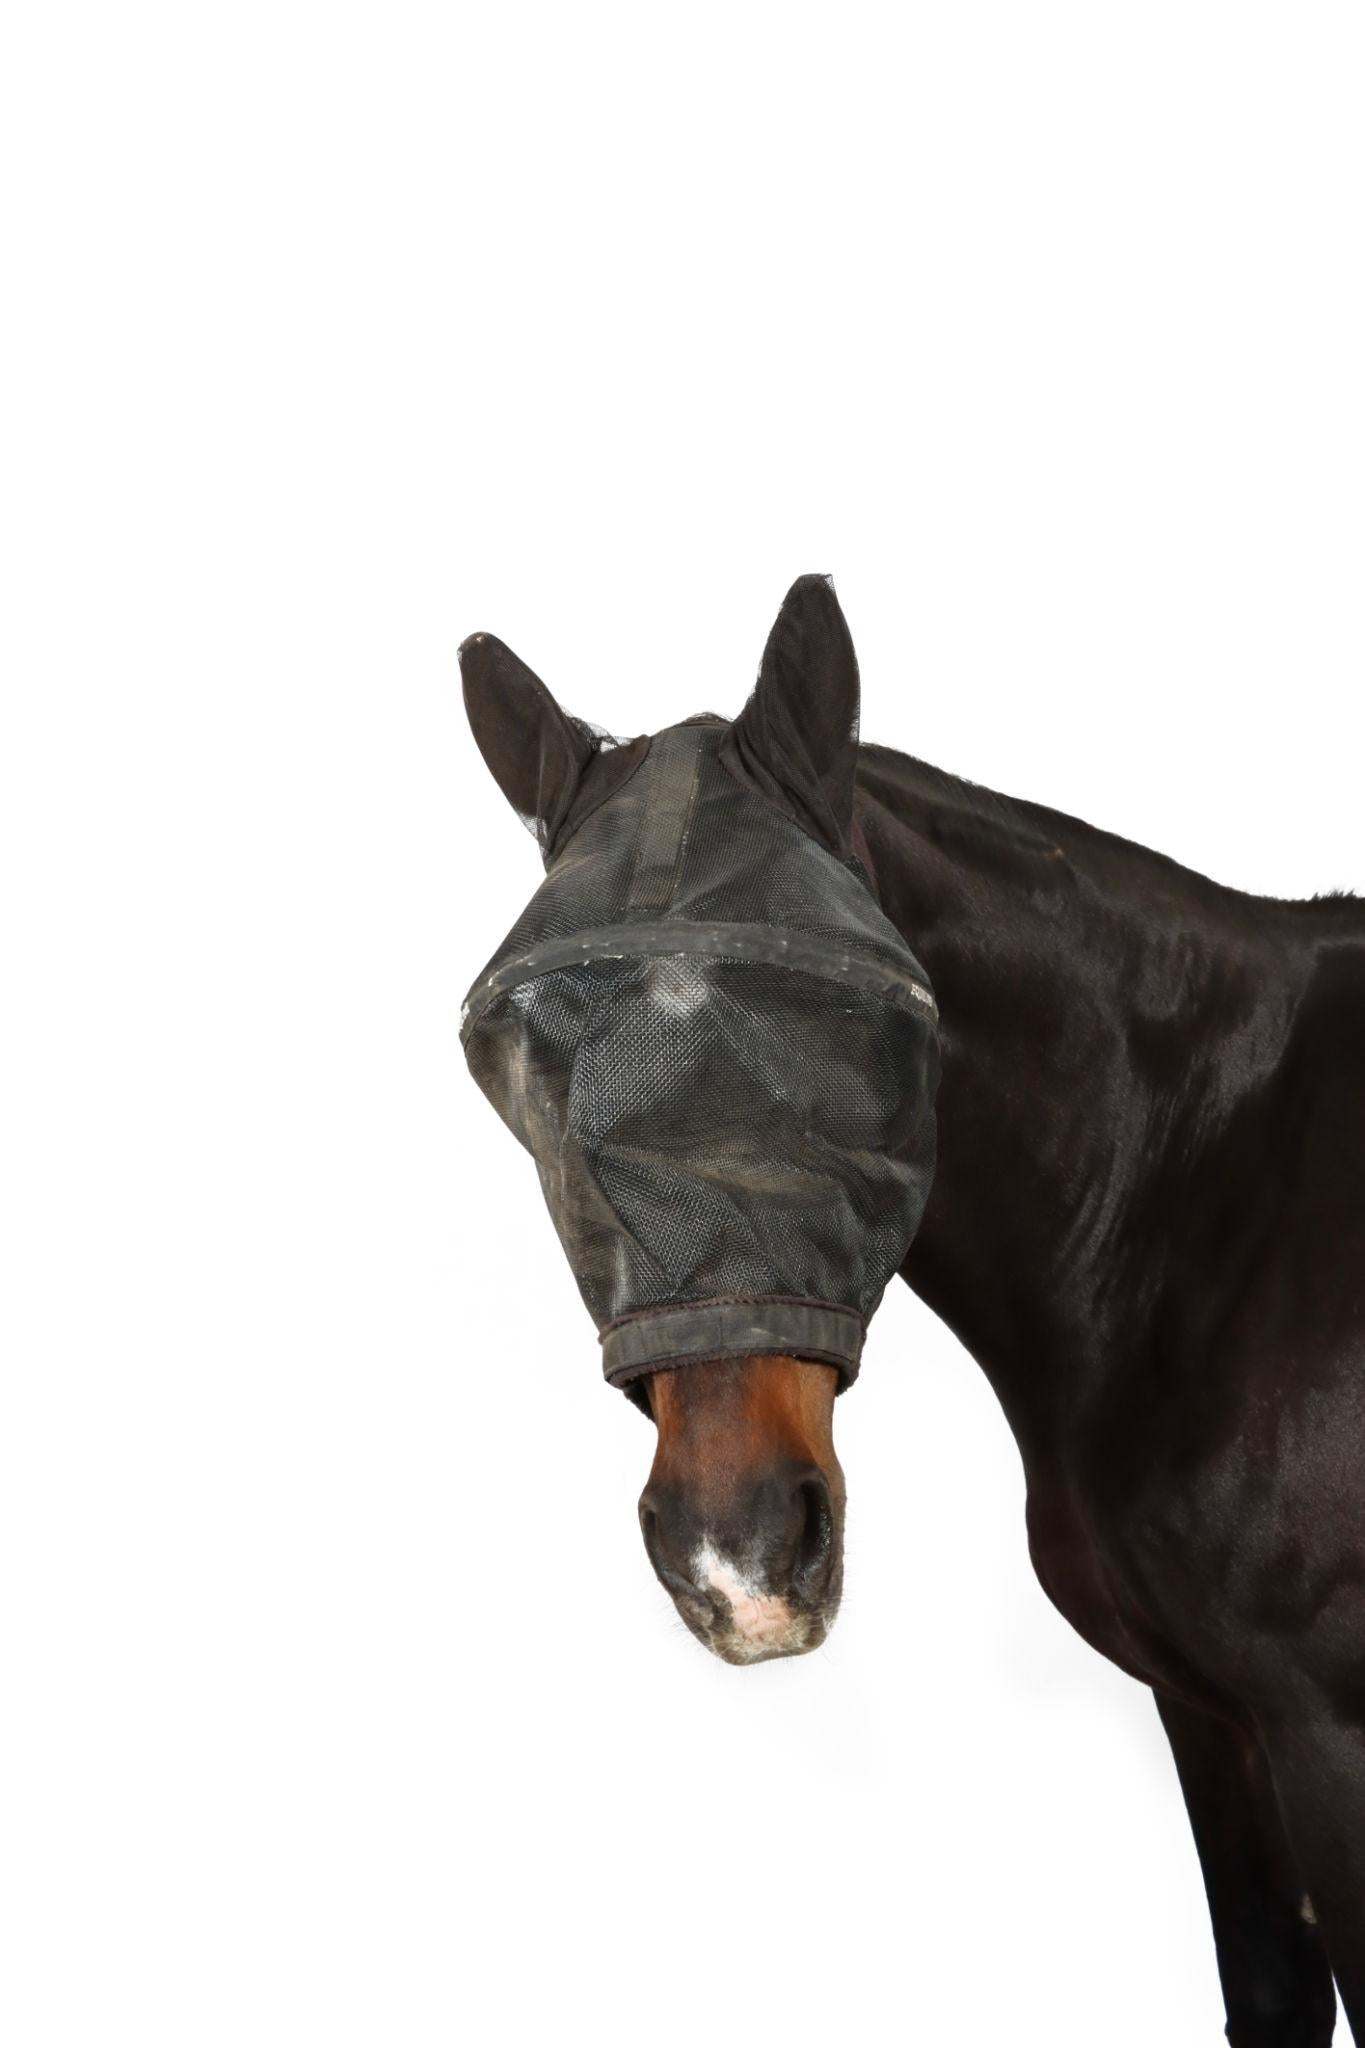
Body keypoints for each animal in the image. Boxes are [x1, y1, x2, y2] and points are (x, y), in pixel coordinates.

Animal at [460, 574, 1365, 2044]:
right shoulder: (1220, 1722)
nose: (737, 1557)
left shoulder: (1330, 1731)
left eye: (857, 1019)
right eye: (517, 1056)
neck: (1212, 1175)